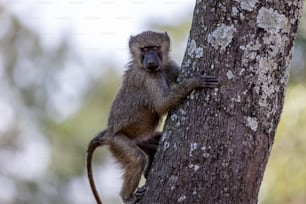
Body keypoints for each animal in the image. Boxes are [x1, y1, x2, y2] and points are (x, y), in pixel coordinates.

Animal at [87, 30, 219, 204]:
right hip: (117, 141)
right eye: (144, 49)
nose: (150, 61)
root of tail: (107, 132)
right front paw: (195, 82)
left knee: (153, 143)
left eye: (155, 47)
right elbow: (161, 104)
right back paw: (127, 197)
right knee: (137, 159)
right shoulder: (148, 78)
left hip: (140, 139)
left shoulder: (168, 65)